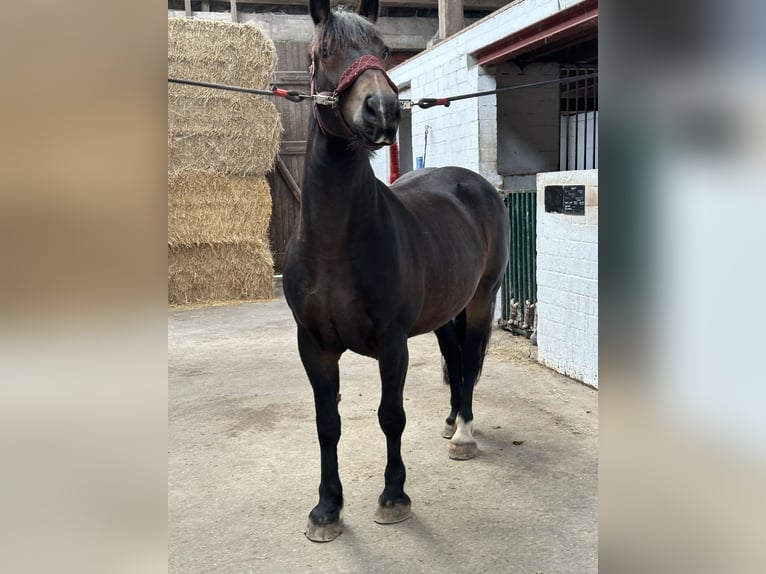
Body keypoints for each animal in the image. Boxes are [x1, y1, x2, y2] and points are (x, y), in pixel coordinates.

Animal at [282, 0, 510, 544]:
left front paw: (394, 497)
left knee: (471, 357)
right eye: (323, 51)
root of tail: (474, 183)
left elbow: (391, 416)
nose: (382, 110)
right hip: (446, 311)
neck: (336, 247)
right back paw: (450, 420)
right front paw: (327, 508)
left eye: (383, 49)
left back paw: (463, 434)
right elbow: (327, 423)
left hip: (481, 300)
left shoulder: (391, 342)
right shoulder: (313, 345)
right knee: (457, 360)